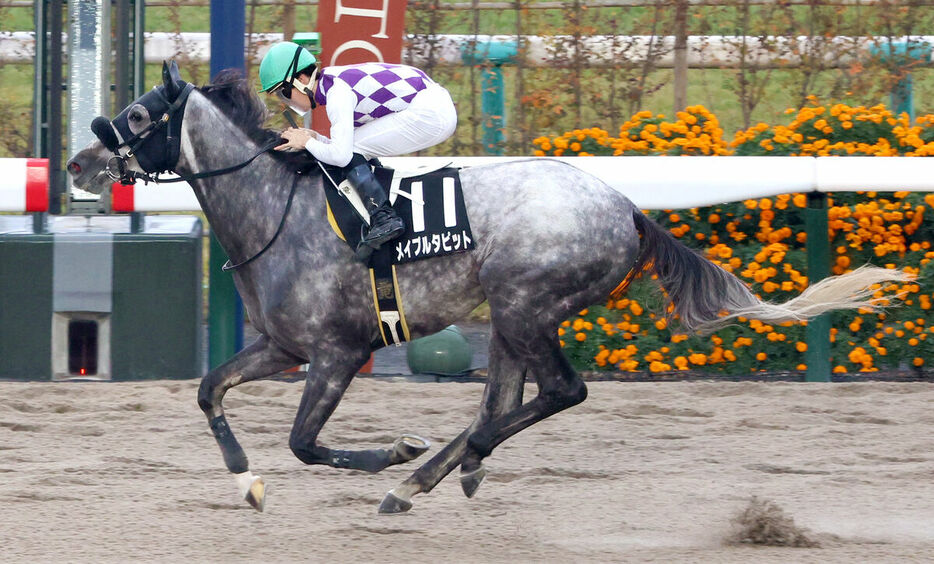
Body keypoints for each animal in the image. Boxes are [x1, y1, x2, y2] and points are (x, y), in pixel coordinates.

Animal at [67, 62, 916, 516]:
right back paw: (445, 471)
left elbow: (306, 442)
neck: (277, 209)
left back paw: (428, 471)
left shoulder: (337, 351)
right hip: (512, 314)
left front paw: (390, 452)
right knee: (504, 400)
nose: (77, 163)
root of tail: (625, 206)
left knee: (556, 394)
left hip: (525, 304)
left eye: (136, 114)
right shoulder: (281, 347)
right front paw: (247, 484)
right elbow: (209, 390)